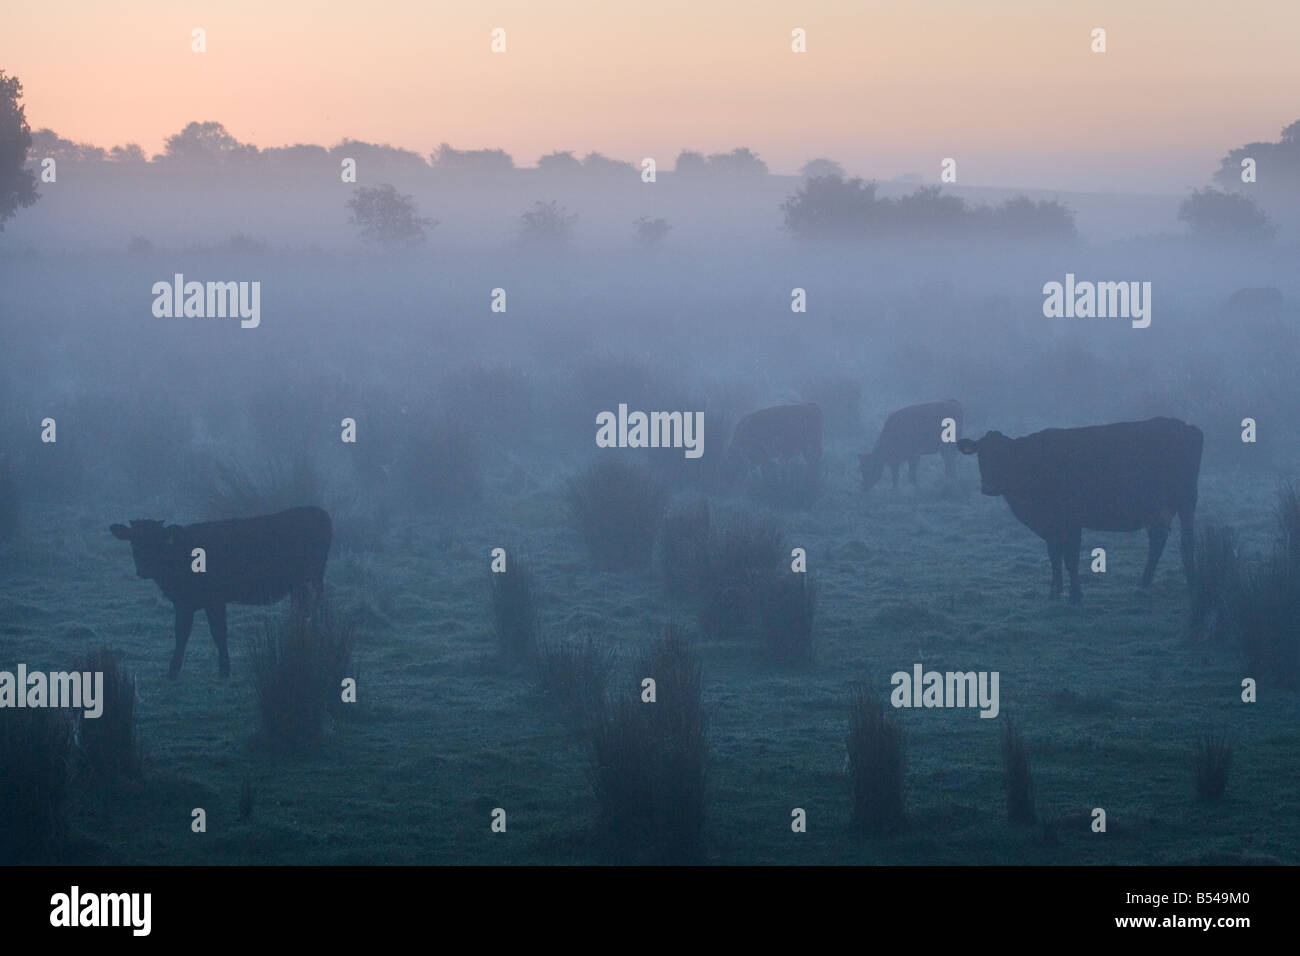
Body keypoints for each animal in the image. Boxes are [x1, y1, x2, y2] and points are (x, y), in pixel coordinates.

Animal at [109, 504, 332, 676]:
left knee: (316, 608)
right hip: (302, 585)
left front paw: (223, 669)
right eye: (133, 543)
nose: (144, 570)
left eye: (158, 543)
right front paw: (174, 669)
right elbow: (181, 633)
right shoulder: (184, 603)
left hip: (312, 580)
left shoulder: (213, 600)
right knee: (303, 610)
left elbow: (217, 632)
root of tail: (317, 511)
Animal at [951, 418, 1201, 606]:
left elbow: (1070, 559)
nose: (989, 487)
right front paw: (1054, 593)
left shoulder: (1071, 521)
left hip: (1186, 500)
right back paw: (1143, 586)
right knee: (1158, 540)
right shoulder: (1051, 524)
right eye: (981, 456)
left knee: (1187, 541)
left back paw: (1191, 584)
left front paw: (1075, 596)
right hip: (1157, 508)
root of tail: (1185, 426)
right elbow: (1054, 557)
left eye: (1005, 457)